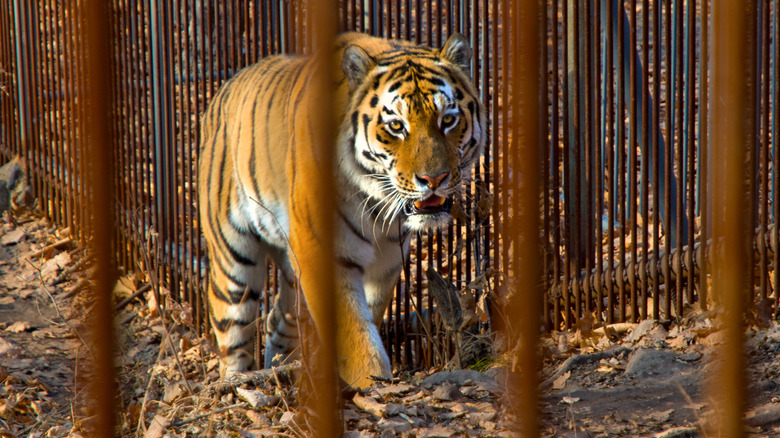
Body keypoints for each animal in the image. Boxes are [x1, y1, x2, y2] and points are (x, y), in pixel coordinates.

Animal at [198, 32, 484, 388]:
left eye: (448, 120)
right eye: (396, 126)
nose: (434, 179)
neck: (377, 204)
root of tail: (225, 87)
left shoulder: (388, 260)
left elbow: (368, 317)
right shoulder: (322, 251)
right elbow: (355, 335)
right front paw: (370, 384)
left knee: (279, 317)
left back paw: (282, 370)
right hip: (234, 261)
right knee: (233, 331)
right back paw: (238, 382)